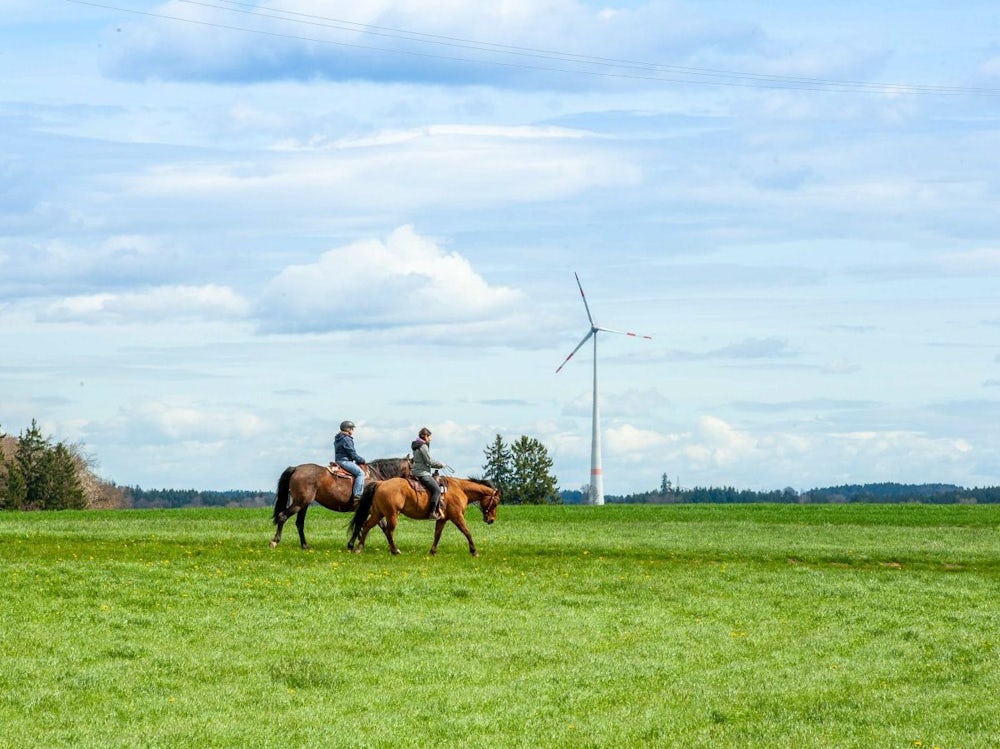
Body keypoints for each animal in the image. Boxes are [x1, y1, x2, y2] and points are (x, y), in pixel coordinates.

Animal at [270, 456, 410, 548]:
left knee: (299, 523)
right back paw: (275, 541)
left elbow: (365, 525)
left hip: (303, 505)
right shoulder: (370, 509)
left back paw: (305, 545)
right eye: (412, 466)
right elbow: (373, 526)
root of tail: (295, 469)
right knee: (282, 516)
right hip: (299, 503)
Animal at [348, 476, 500, 552]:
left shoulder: (443, 519)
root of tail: (380, 483)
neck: (460, 489)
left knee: (366, 526)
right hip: (392, 514)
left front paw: (432, 551)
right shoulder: (457, 516)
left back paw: (358, 548)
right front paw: (474, 551)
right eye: (495, 503)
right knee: (389, 531)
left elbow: (437, 535)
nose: (491, 520)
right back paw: (395, 550)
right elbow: (467, 532)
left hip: (378, 513)